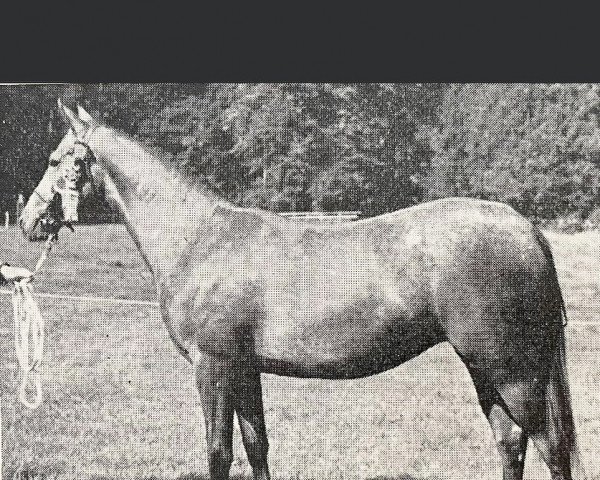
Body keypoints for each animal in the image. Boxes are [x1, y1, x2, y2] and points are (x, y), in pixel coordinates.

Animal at [18, 99, 584, 478]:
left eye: (55, 160)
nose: (26, 221)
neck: (197, 238)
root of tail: (524, 227)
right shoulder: (244, 369)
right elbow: (256, 445)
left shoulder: (213, 366)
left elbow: (219, 451)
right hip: (487, 369)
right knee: (511, 442)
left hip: (514, 370)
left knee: (549, 447)